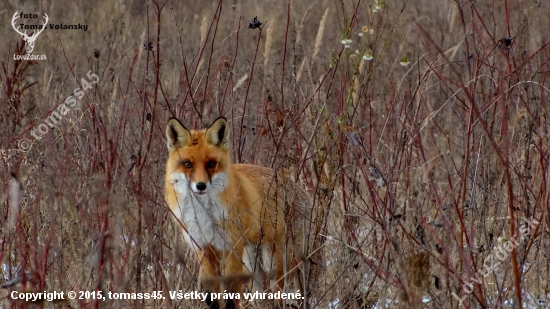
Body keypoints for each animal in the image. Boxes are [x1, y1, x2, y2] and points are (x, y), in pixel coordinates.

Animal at [165, 116, 314, 306]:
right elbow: (210, 296)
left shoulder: (232, 247)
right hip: (251, 265)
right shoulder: (203, 247)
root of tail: (301, 190)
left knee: (280, 296)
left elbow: (231, 296)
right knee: (261, 299)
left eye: (211, 164)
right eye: (187, 164)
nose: (200, 186)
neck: (204, 214)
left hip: (274, 265)